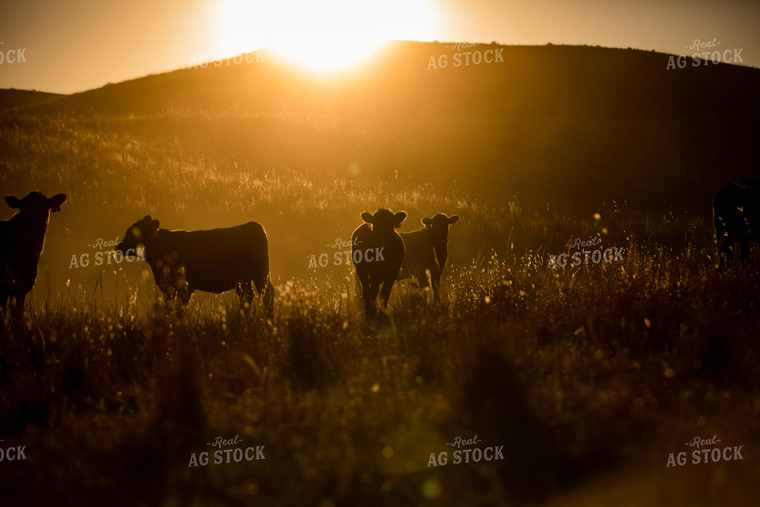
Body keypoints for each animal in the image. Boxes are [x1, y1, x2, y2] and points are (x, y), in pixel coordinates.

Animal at [115, 215, 274, 318]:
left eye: (132, 233)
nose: (118, 246)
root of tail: (253, 225)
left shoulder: (184, 286)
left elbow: (179, 308)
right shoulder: (169, 288)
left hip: (257, 274)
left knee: (262, 295)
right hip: (250, 278)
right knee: (252, 296)